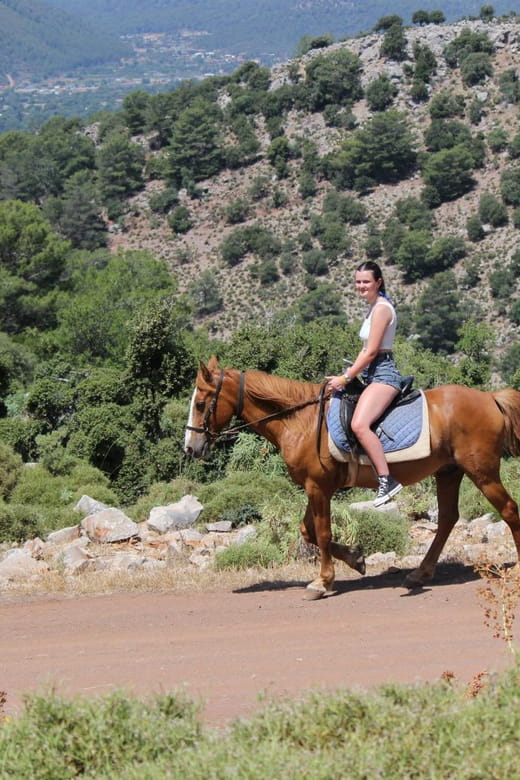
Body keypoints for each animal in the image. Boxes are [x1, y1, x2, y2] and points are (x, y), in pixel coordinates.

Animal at [184, 355, 520, 599]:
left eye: (201, 404)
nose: (190, 447)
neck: (300, 420)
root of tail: (490, 398)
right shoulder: (315, 487)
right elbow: (307, 531)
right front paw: (356, 559)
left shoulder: (318, 487)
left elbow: (321, 533)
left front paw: (323, 582)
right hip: (449, 472)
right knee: (448, 518)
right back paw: (420, 573)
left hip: (482, 472)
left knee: (508, 510)